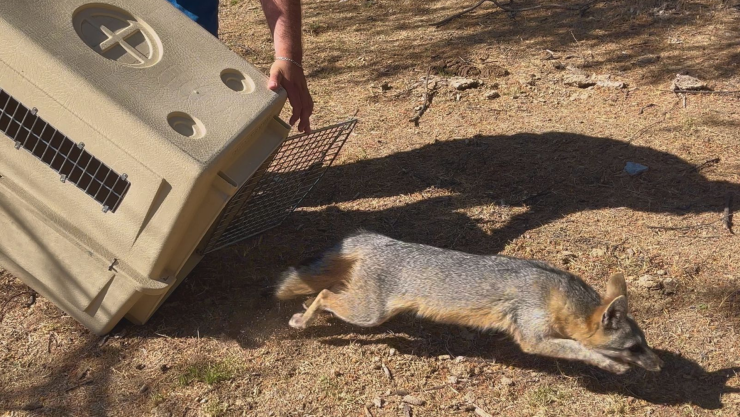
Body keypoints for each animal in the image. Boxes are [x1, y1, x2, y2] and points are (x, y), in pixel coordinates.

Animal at [275, 231, 664, 374]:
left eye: (645, 344)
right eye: (633, 348)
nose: (660, 366)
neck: (556, 292)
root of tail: (379, 240)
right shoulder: (532, 337)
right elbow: (578, 349)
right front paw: (608, 364)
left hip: (362, 303)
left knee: (327, 289)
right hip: (369, 315)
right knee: (324, 294)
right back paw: (302, 321)